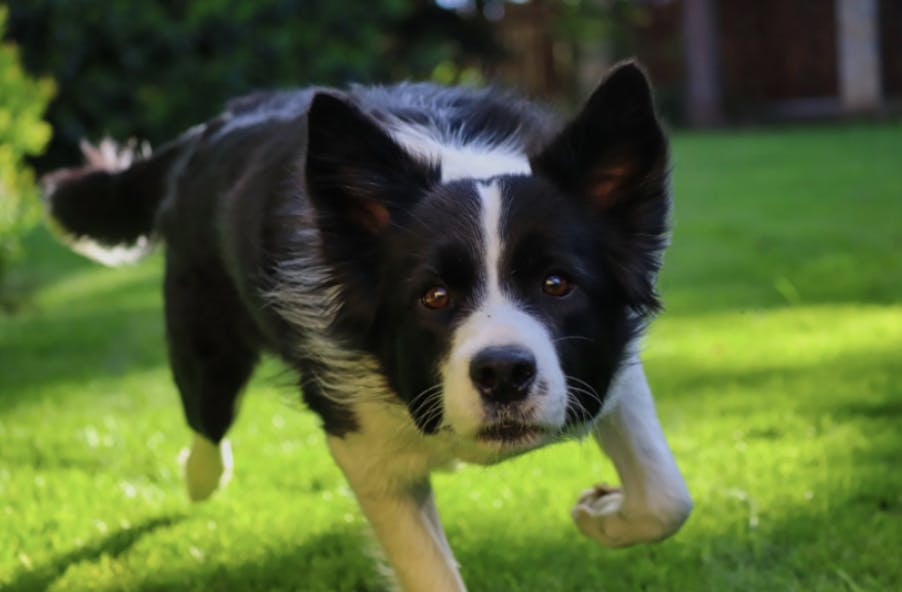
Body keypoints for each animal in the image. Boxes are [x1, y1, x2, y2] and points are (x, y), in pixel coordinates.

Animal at [47, 61, 692, 592]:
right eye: (434, 297)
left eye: (558, 284)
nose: (504, 374)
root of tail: (210, 128)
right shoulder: (361, 444)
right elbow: (428, 569)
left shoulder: (605, 363)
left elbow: (667, 498)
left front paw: (601, 514)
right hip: (204, 340)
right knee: (207, 422)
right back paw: (200, 476)